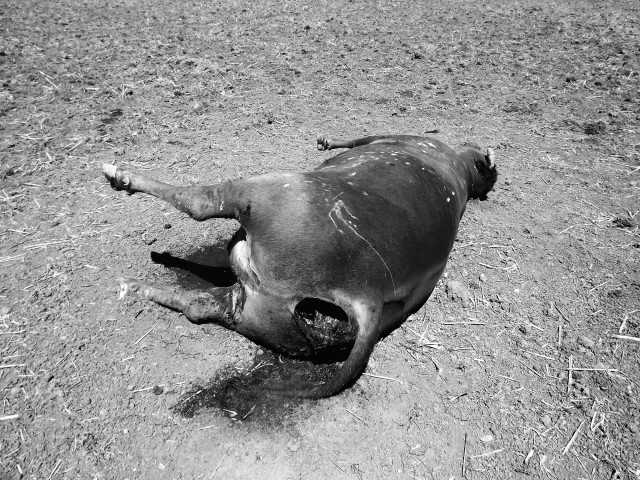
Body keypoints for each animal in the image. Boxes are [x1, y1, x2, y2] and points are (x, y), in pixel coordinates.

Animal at [103, 134, 497, 398]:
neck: (460, 172)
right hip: (248, 308)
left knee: (200, 201)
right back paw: (135, 288)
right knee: (197, 305)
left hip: (264, 192)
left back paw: (119, 175)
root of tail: (367, 293)